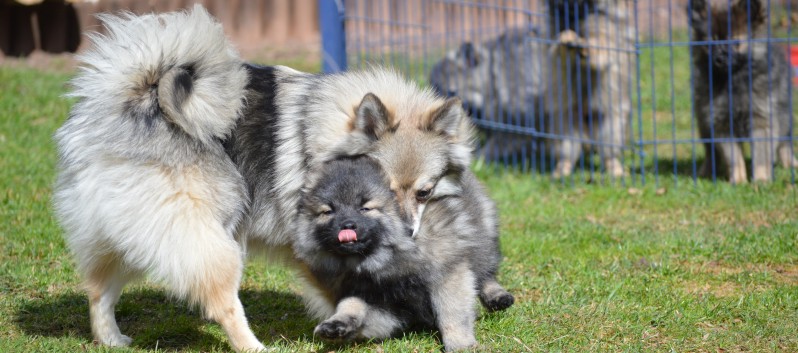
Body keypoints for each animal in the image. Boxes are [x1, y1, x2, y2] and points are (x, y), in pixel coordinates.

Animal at [294, 156, 512, 350]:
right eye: (327, 212)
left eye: (365, 208)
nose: (346, 225)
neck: (388, 259)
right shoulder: (382, 304)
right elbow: (352, 304)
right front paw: (338, 324)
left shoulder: (448, 272)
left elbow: (452, 312)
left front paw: (460, 344)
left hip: (485, 235)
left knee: (486, 273)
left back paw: (497, 296)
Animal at [692, 0, 796, 183]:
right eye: (710, 43)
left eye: (734, 42)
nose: (719, 59)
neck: (733, 80)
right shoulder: (721, 124)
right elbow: (734, 158)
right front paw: (738, 181)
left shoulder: (761, 121)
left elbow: (761, 156)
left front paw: (761, 180)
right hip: (703, 124)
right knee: (710, 153)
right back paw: (706, 172)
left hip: (784, 116)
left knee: (785, 143)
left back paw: (790, 164)